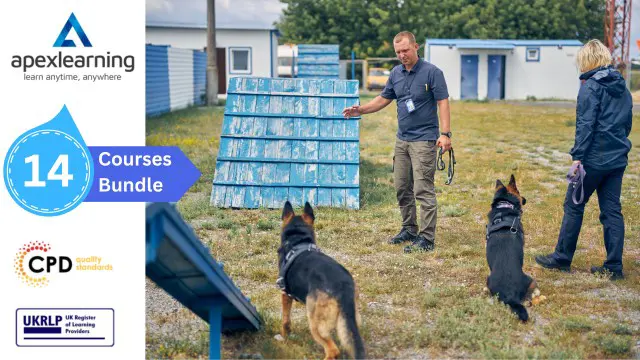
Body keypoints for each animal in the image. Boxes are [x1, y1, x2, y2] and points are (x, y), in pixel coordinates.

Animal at [278, 201, 364, 358]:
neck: (298, 241)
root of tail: (342, 287)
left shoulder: (285, 294)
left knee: (333, 350)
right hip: (351, 319)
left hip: (315, 323)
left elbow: (286, 320)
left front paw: (285, 335)